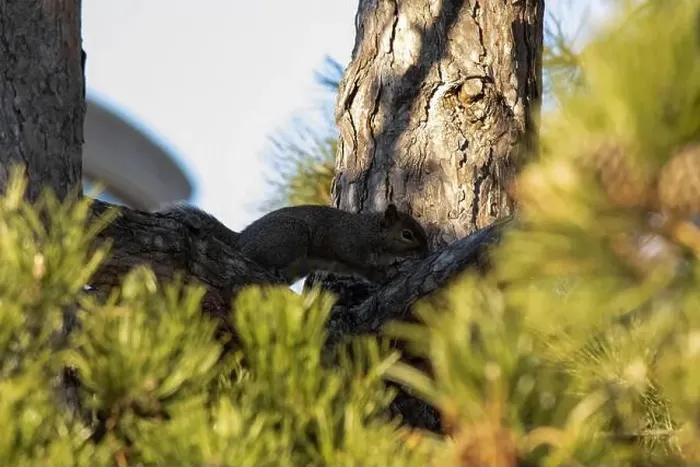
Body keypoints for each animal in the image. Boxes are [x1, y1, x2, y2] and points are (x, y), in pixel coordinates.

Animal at [158, 202, 430, 284]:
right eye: (407, 234)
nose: (427, 254)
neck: (371, 232)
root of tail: (241, 238)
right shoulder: (347, 244)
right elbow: (358, 263)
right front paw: (384, 274)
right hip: (291, 238)